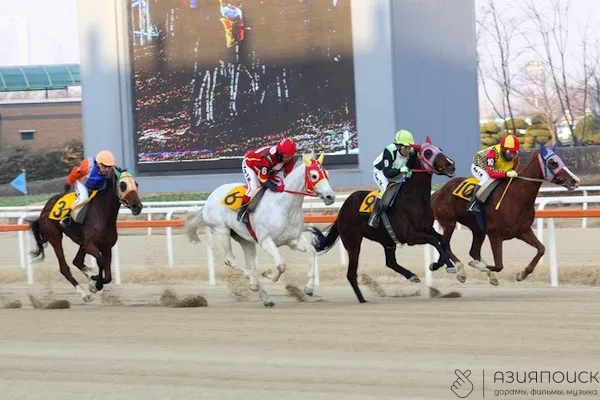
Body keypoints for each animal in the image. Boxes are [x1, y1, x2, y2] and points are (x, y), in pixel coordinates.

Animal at [28, 170, 143, 302]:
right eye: (123, 185)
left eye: (136, 184)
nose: (137, 207)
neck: (102, 214)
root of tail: (43, 210)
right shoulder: (90, 245)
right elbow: (101, 261)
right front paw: (96, 283)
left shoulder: (106, 246)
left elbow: (108, 275)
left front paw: (94, 280)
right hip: (55, 236)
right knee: (64, 267)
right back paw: (84, 293)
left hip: (81, 243)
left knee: (77, 261)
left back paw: (90, 277)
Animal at [185, 151, 336, 308]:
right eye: (314, 175)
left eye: (327, 174)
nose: (330, 196)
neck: (283, 205)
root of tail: (208, 200)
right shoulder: (266, 241)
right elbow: (281, 265)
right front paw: (269, 275)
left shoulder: (293, 240)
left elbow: (312, 252)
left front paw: (309, 288)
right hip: (222, 230)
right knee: (232, 261)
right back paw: (253, 283)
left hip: (245, 240)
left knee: (250, 265)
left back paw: (265, 297)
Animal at [309, 137, 457, 303]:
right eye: (428, 152)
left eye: (440, 149)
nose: (451, 164)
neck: (413, 198)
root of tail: (342, 210)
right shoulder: (410, 236)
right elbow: (434, 241)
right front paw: (449, 266)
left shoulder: (427, 228)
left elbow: (442, 240)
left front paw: (437, 264)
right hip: (353, 242)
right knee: (351, 273)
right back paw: (362, 299)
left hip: (387, 240)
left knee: (390, 262)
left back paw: (411, 276)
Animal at [431, 142, 580, 285]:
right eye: (553, 162)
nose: (575, 180)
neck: (516, 197)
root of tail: (438, 191)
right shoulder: (495, 234)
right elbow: (499, 265)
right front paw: (477, 265)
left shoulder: (522, 231)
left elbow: (541, 249)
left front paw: (522, 274)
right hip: (449, 223)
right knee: (445, 245)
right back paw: (461, 271)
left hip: (477, 229)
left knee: (473, 251)